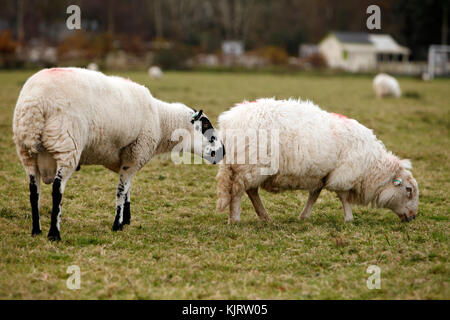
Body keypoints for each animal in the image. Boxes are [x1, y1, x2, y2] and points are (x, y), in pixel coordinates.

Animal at [13, 67, 224, 240]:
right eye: (206, 126)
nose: (223, 151)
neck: (162, 121)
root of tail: (35, 103)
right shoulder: (135, 152)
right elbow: (121, 190)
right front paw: (117, 224)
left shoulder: (125, 155)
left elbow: (128, 188)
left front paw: (125, 219)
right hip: (66, 145)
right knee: (57, 190)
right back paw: (54, 234)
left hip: (27, 151)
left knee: (33, 192)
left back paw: (36, 230)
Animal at [215, 99, 418, 224]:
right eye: (408, 190)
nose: (414, 217)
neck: (371, 166)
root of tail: (228, 120)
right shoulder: (344, 174)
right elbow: (344, 198)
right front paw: (349, 219)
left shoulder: (322, 176)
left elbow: (314, 196)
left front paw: (304, 216)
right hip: (251, 164)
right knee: (239, 191)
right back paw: (235, 219)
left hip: (249, 167)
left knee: (250, 190)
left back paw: (265, 217)